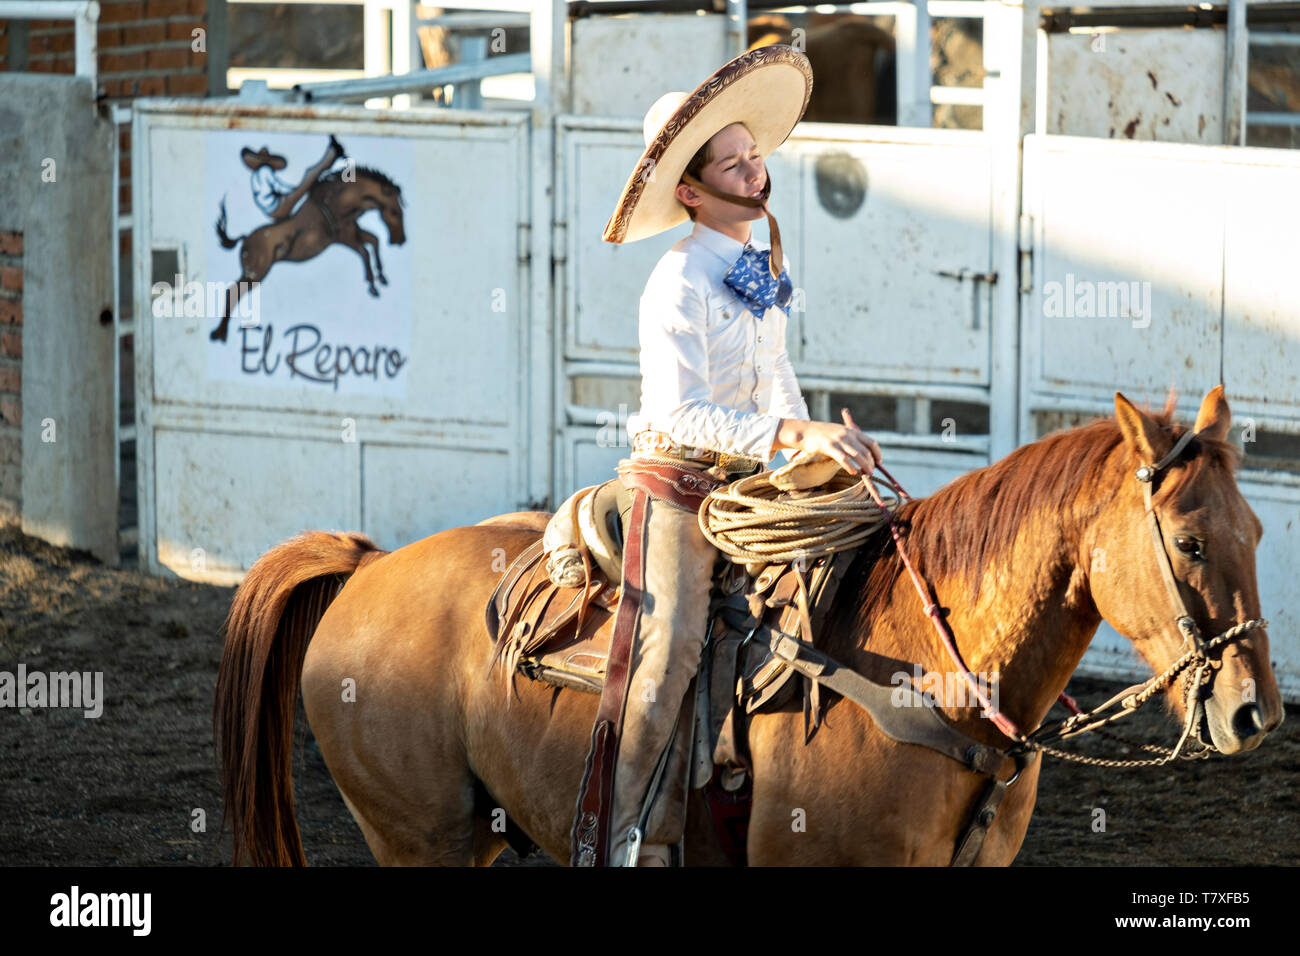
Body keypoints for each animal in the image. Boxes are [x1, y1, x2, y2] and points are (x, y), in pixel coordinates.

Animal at [209, 166, 405, 343]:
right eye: (394, 212)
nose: (401, 240)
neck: (337, 203)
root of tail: (244, 240)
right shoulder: (345, 238)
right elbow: (365, 252)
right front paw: (373, 286)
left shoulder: (355, 232)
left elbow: (374, 241)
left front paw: (382, 277)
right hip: (255, 274)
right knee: (232, 292)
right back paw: (220, 334)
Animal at [213, 390, 1279, 868]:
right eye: (1189, 542)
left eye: (1259, 532)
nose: (1255, 713)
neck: (930, 675)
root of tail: (368, 566)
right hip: (419, 839)